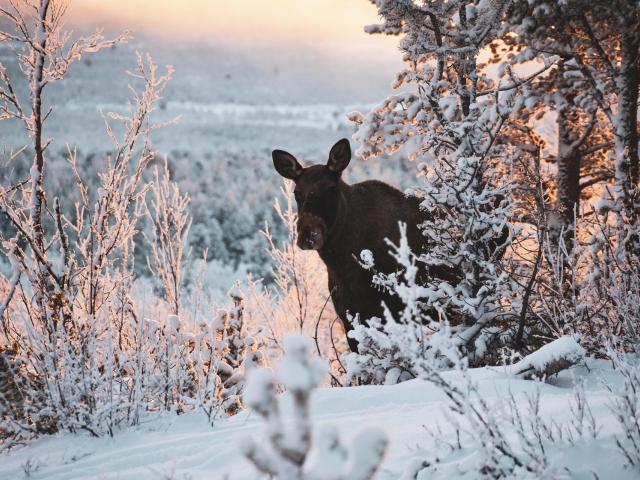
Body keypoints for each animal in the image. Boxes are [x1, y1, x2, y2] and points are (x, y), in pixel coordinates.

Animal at [270, 137, 460, 350]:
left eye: (331, 188)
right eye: (297, 192)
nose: (308, 234)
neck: (340, 264)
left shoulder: (395, 314)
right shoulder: (349, 317)